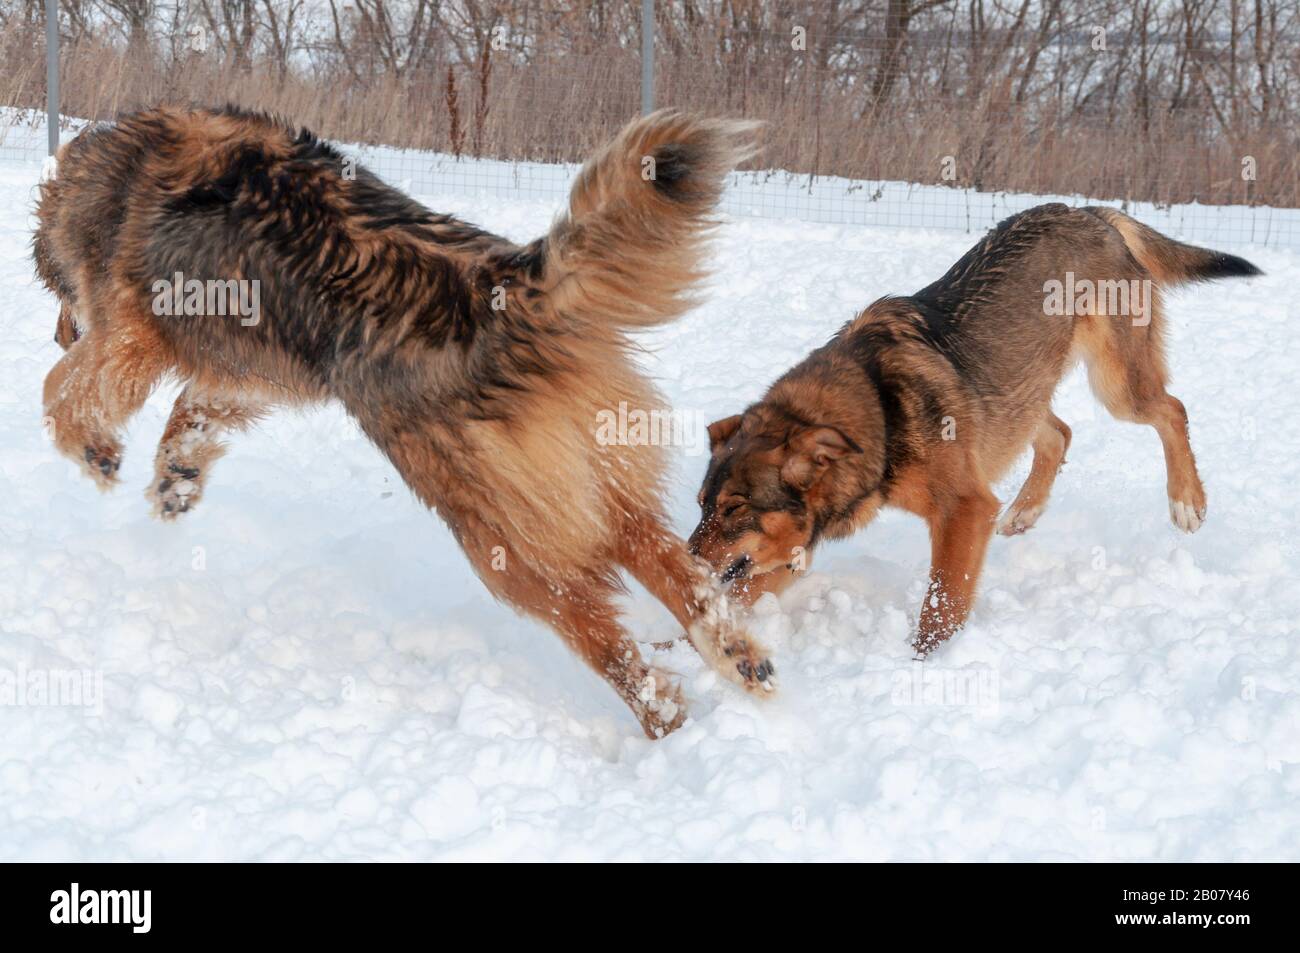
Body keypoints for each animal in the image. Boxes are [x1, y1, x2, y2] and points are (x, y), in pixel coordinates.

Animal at [35, 104, 774, 738]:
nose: (58, 330)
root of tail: (503, 287)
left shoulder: (134, 330)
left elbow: (66, 390)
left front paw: (94, 447)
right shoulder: (251, 373)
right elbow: (192, 410)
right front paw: (175, 479)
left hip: (501, 541)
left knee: (608, 641)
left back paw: (665, 719)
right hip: (589, 481)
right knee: (679, 573)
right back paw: (740, 658)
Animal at [691, 202, 1258, 655]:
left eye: (733, 509)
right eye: (701, 506)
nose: (685, 565)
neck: (881, 406)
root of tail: (1087, 211)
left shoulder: (964, 509)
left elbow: (941, 606)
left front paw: (924, 665)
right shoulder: (788, 551)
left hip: (1116, 388)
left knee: (1173, 409)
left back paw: (1186, 502)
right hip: (1016, 394)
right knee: (1061, 433)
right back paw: (1026, 511)